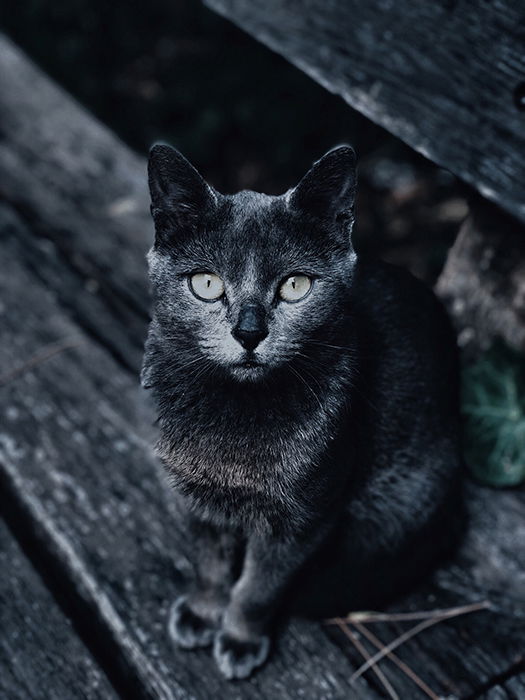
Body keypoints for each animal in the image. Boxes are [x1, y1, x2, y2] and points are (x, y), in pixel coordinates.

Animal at [140, 146, 462, 680]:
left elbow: (257, 588)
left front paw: (240, 639)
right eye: (206, 283)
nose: (249, 333)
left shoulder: (302, 518)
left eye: (295, 285)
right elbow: (208, 563)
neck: (235, 418)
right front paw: (203, 613)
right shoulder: (196, 497)